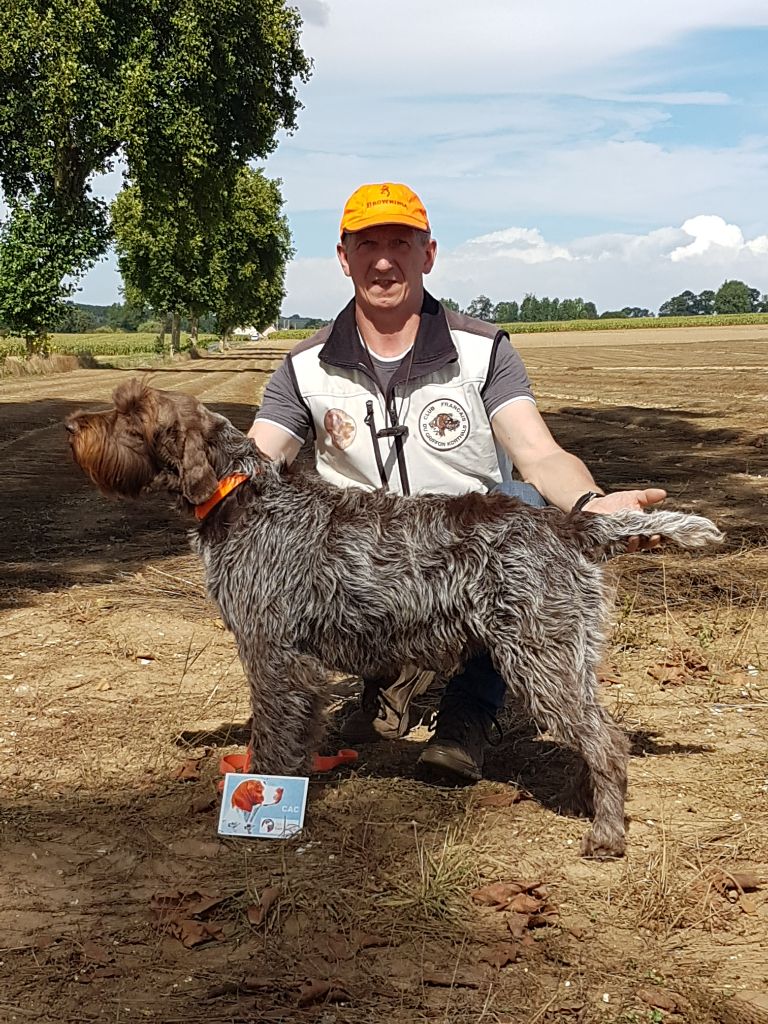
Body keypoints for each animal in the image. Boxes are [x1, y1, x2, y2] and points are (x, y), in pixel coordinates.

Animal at [67, 378, 729, 856]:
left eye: (131, 415)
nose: (72, 425)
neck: (244, 493)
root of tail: (569, 525)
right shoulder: (294, 663)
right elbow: (297, 733)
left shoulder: (273, 654)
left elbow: (275, 737)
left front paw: (263, 798)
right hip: (566, 656)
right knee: (597, 736)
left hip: (539, 657)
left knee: (606, 741)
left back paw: (606, 834)